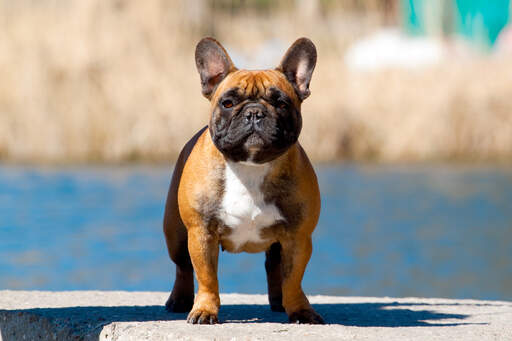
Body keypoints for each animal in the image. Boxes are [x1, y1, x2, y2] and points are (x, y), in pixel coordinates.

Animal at [165, 37, 324, 324]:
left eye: (281, 104)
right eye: (228, 103)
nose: (254, 112)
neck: (249, 166)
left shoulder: (297, 237)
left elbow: (293, 279)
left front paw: (300, 309)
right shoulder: (201, 232)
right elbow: (206, 277)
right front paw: (205, 310)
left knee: (274, 267)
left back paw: (280, 301)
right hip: (176, 235)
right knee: (183, 266)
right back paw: (180, 300)